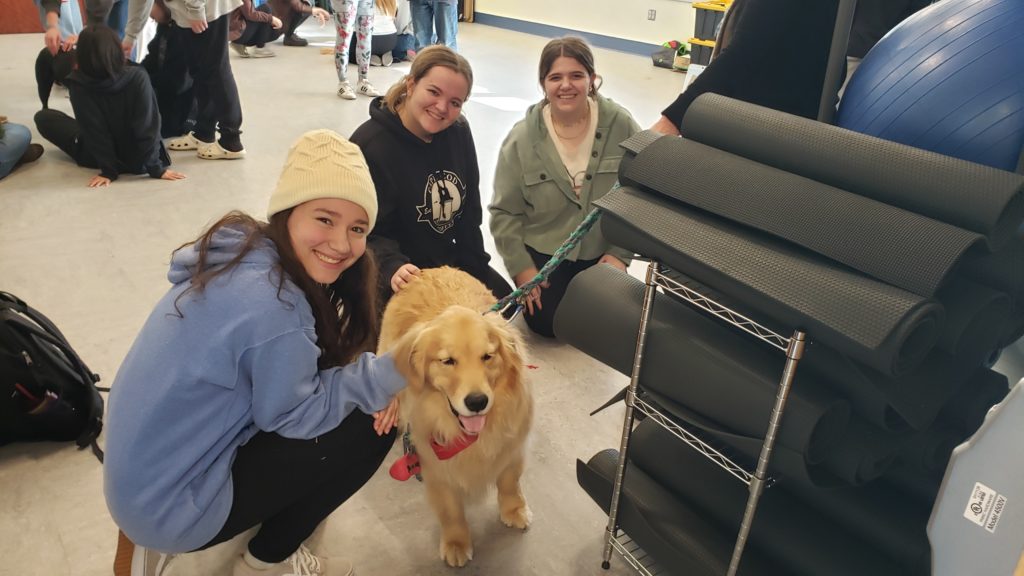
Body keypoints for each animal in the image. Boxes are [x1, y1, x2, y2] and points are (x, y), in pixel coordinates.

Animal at [378, 264, 536, 565]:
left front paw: (514, 509)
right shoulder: (435, 465)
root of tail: (427, 269)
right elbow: (451, 510)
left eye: (488, 356)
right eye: (447, 361)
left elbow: (510, 482)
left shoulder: (512, 446)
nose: (477, 401)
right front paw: (456, 542)